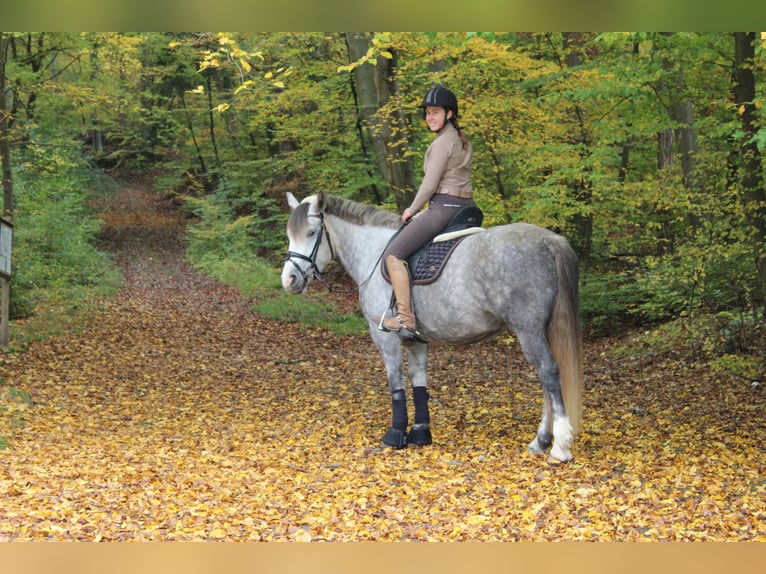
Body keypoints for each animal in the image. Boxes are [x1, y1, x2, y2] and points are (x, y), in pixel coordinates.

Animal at [284, 192, 588, 464]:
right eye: (290, 235)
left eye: (311, 233)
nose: (289, 279)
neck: (374, 252)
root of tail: (550, 240)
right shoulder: (416, 341)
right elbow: (419, 382)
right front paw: (420, 433)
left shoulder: (386, 340)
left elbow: (396, 382)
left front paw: (395, 434)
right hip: (542, 330)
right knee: (548, 378)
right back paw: (541, 440)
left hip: (529, 330)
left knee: (549, 373)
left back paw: (559, 447)